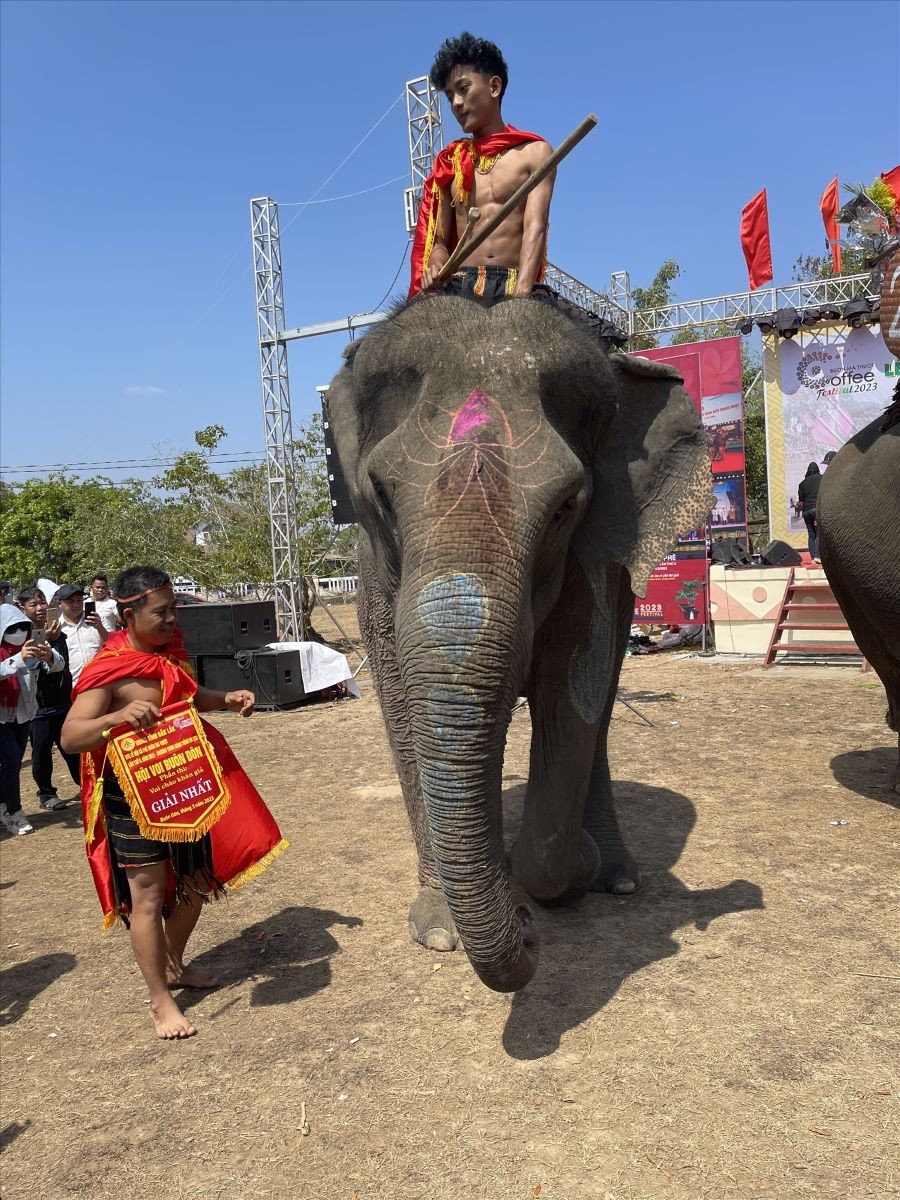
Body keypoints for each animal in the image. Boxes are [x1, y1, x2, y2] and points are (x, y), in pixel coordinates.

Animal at [328, 295, 715, 988]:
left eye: (564, 506)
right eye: (384, 500)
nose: (528, 931)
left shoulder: (593, 564)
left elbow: (571, 695)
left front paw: (561, 873)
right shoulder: (375, 576)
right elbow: (401, 708)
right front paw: (440, 930)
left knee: (599, 715)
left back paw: (616, 877)